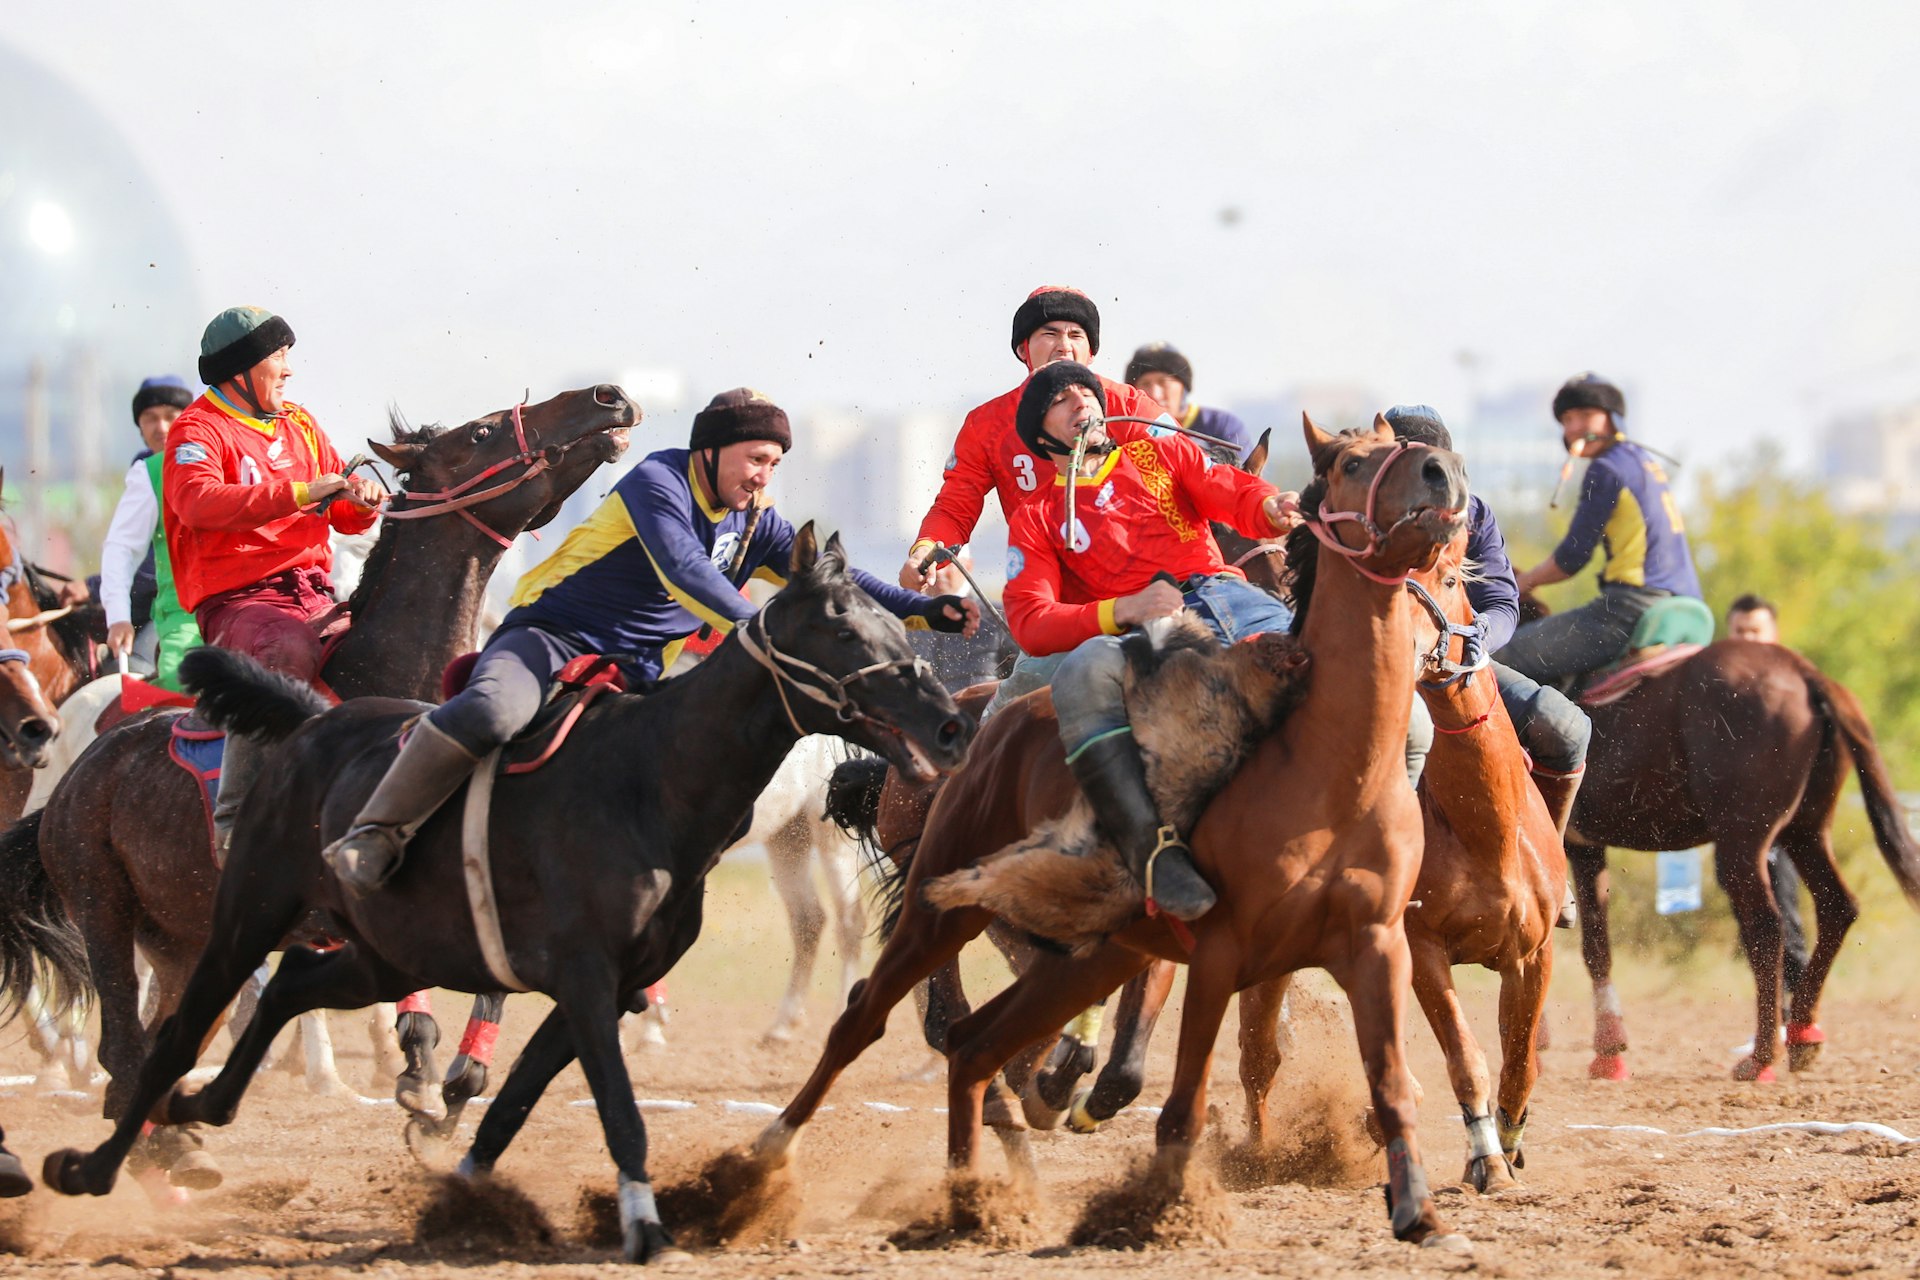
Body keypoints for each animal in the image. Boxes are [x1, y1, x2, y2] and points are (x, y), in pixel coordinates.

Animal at [41, 529, 975, 1274]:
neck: (649, 779)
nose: (949, 726)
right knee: (166, 1039)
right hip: (239, 913)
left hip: (385, 954)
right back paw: (97, 1163)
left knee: (295, 986)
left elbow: (513, 1103)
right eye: (842, 627)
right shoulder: (587, 977)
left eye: (897, 621)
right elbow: (620, 1110)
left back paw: (207, 1105)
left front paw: (460, 1196)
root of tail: (306, 723)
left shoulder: (598, 989)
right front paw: (644, 1226)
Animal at [748, 420, 1466, 1251]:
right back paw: (758, 1167)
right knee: (874, 1020)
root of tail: (980, 734)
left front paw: (1419, 1212)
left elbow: (1388, 1084)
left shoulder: (1373, 943)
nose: (1442, 470)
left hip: (1082, 951)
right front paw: (1157, 1209)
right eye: (1351, 463)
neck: (1321, 765)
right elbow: (1180, 1104)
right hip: (943, 906)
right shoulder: (1217, 949)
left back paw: (975, 1197)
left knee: (975, 1044)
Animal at [1512, 591, 1920, 1082]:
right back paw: (1802, 1035)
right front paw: (1607, 1051)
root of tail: (1805, 673)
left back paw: (1761, 1056)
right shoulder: (1585, 848)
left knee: (1766, 928)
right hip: (1806, 831)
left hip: (1743, 842)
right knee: (1837, 907)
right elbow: (1595, 943)